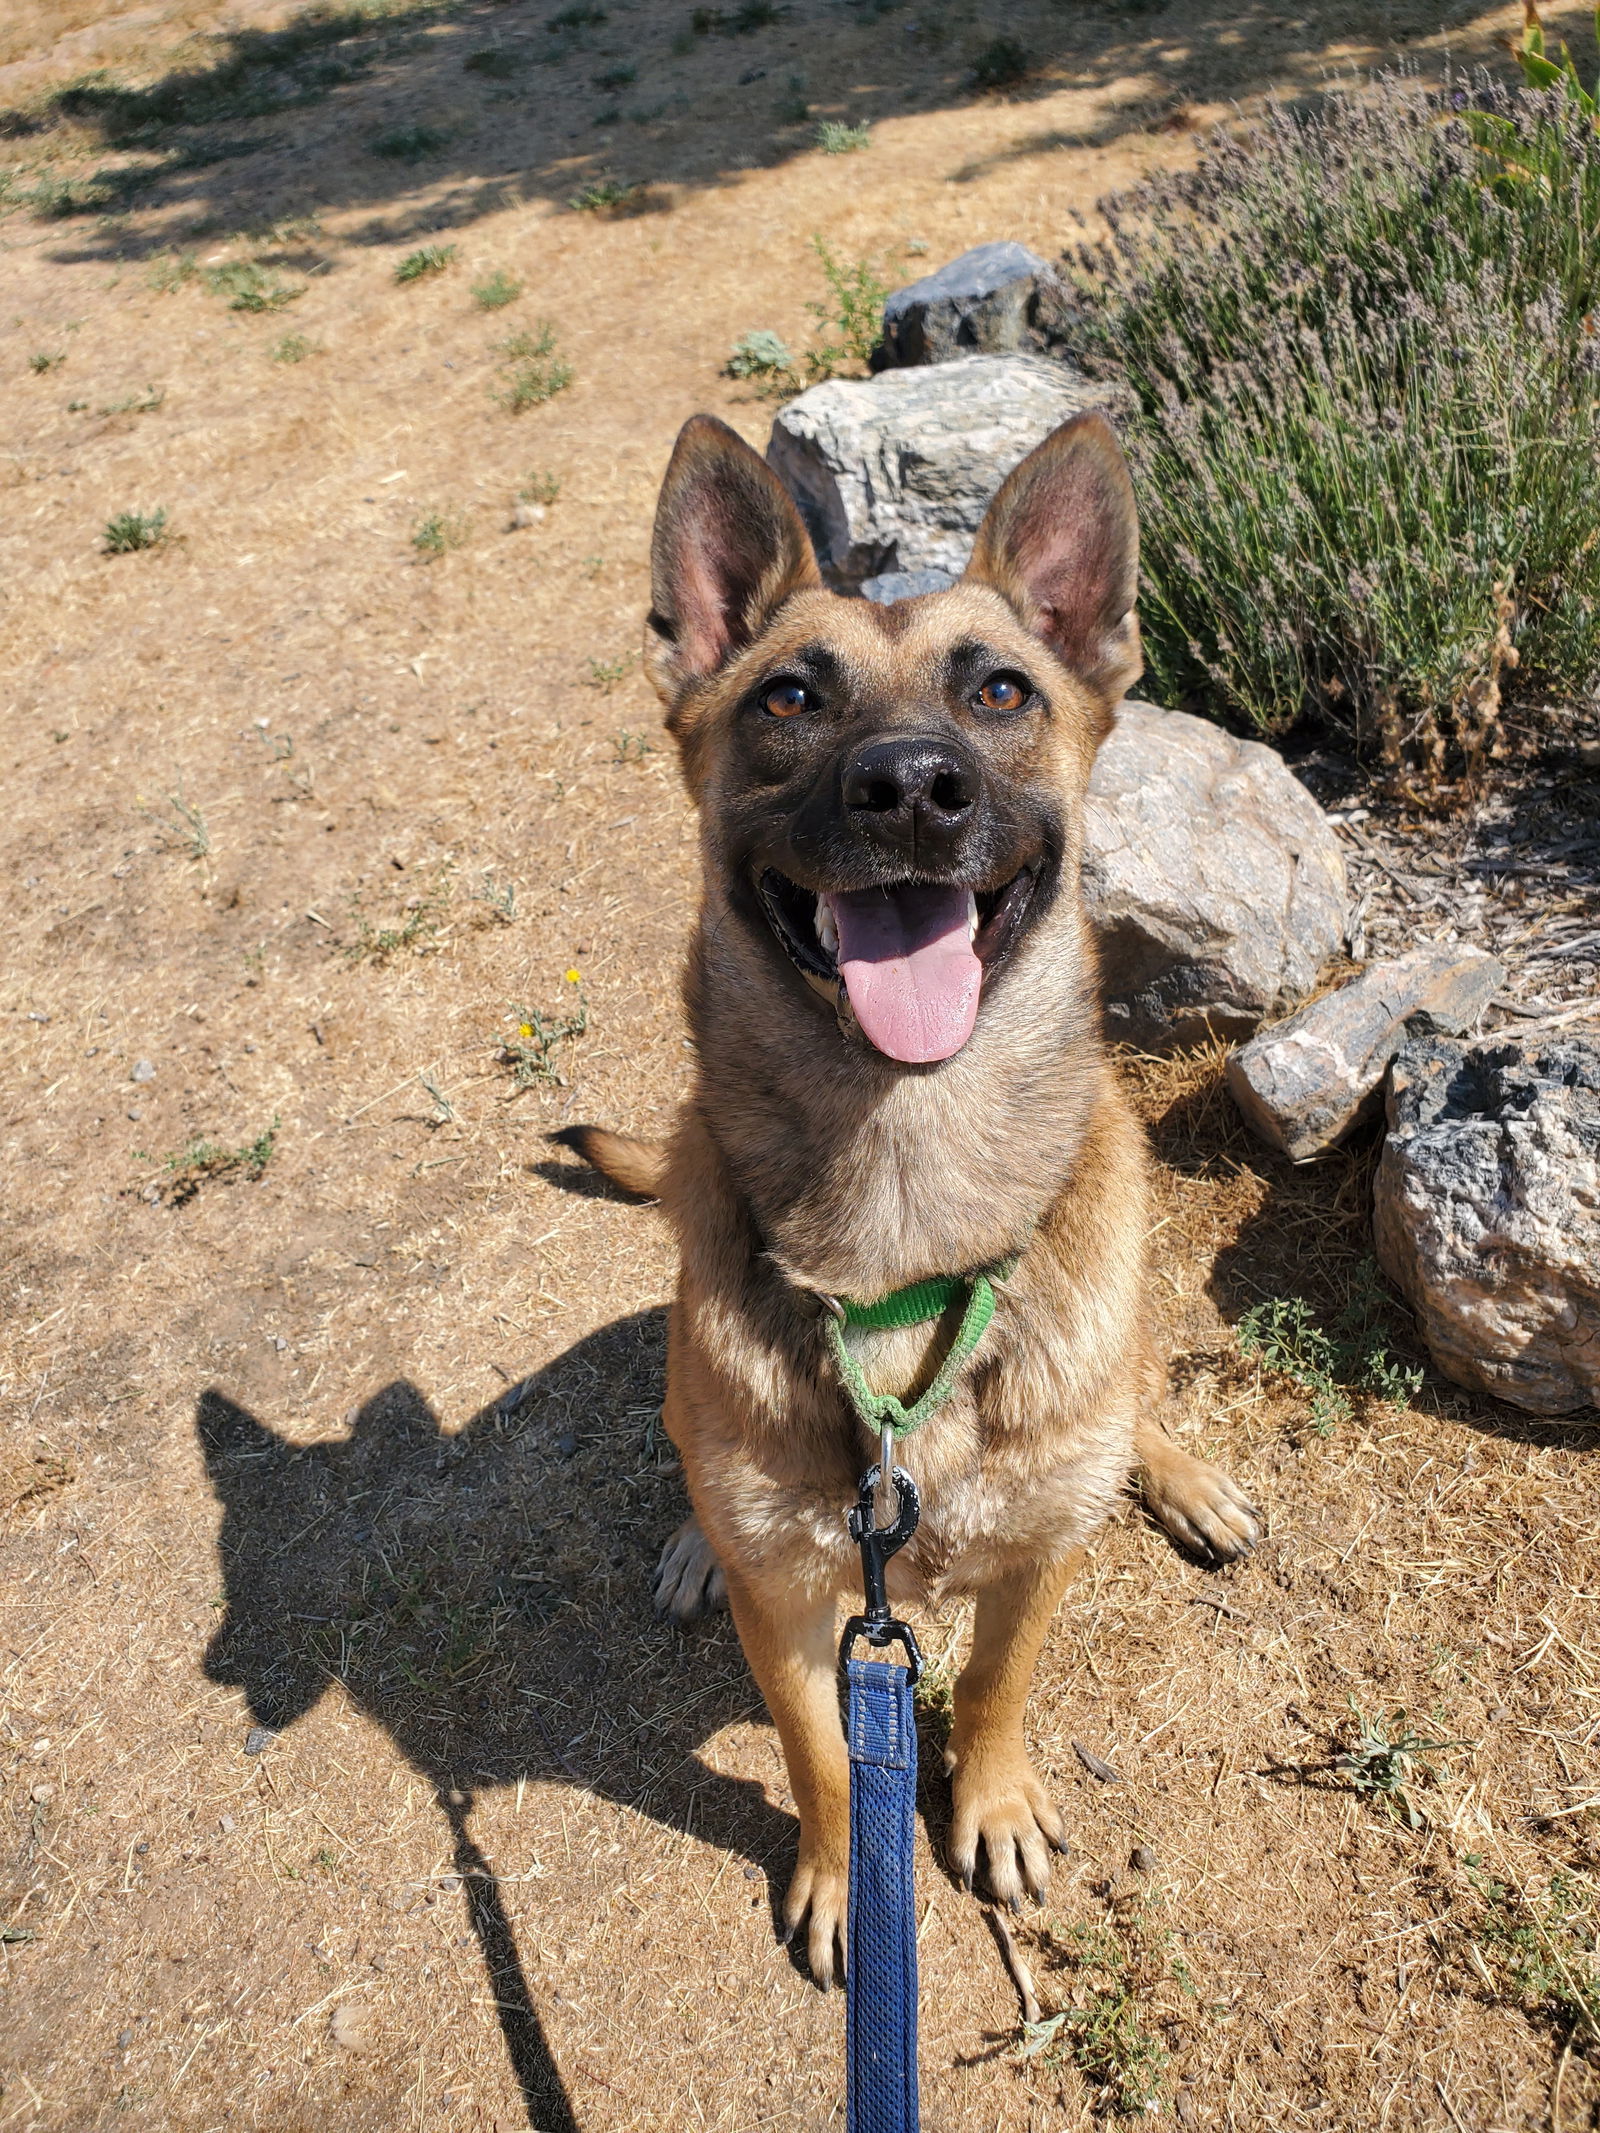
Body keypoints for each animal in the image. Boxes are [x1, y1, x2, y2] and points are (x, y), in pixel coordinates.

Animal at [558, 403, 1262, 1979]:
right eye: (786, 699)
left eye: (1000, 689)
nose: (911, 791)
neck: (904, 1200)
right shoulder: (800, 1608)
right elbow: (821, 1753)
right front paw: (842, 1877)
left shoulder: (1032, 1566)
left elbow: (995, 1685)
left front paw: (987, 1806)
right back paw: (692, 1540)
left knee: (1134, 1402)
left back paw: (1179, 1475)